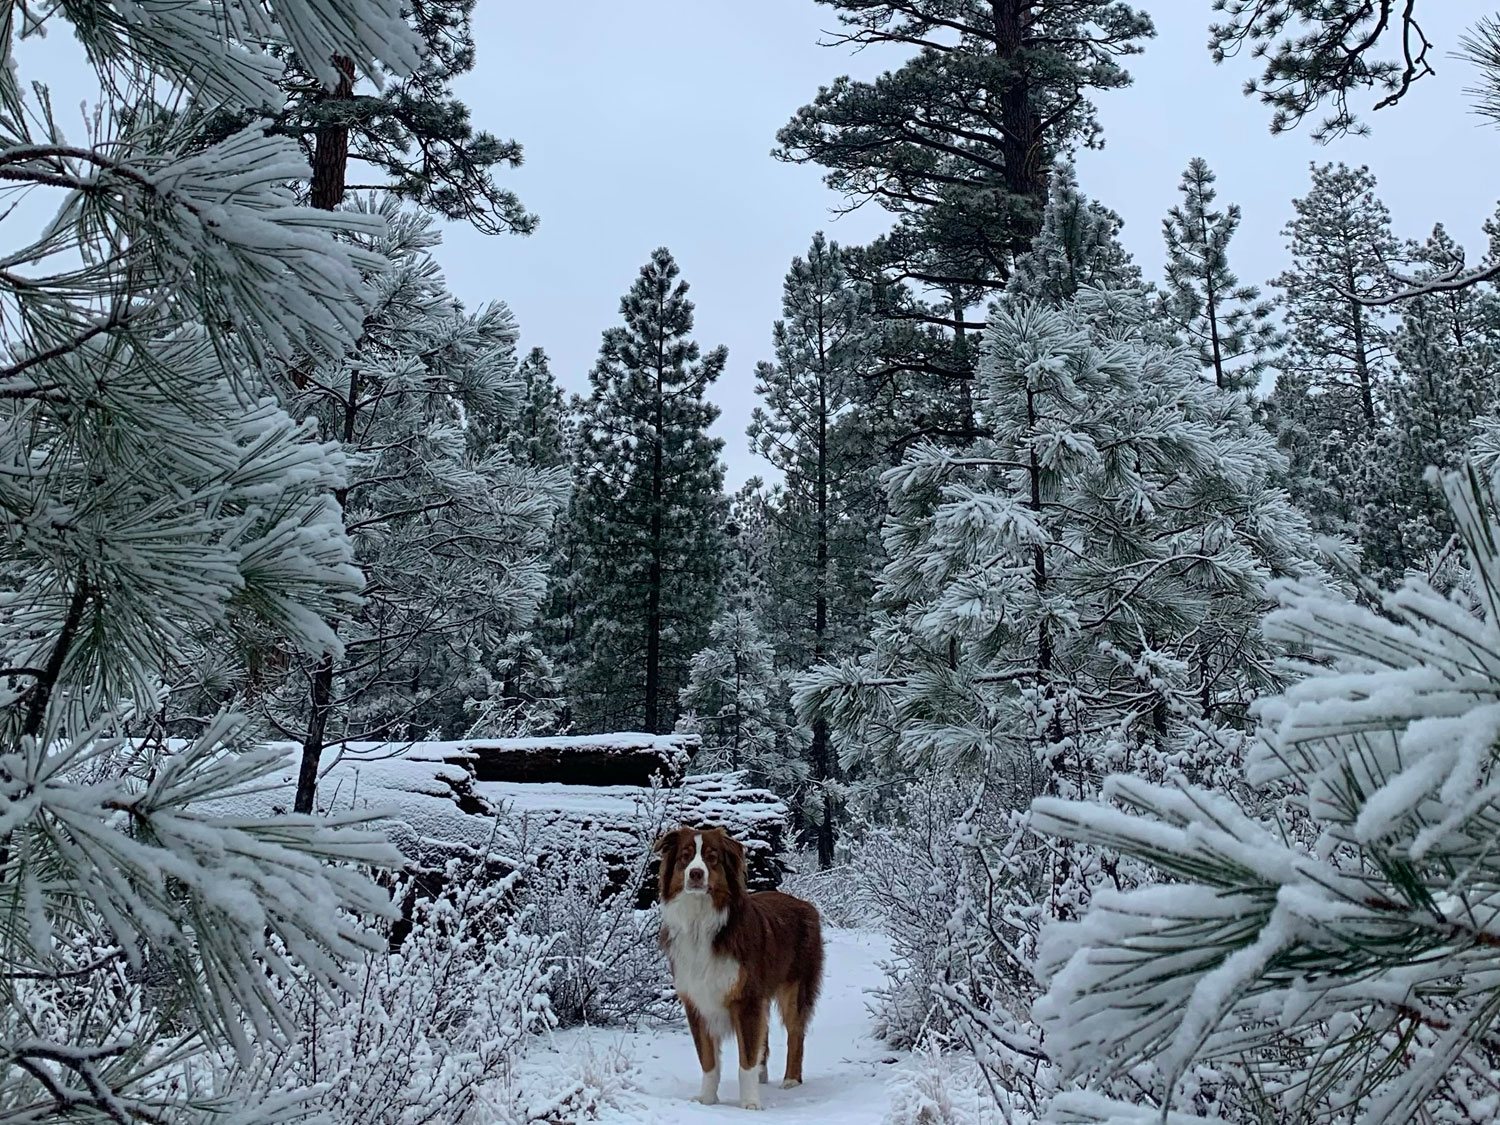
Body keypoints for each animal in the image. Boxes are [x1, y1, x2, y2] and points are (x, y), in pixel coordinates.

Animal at [654, 822, 822, 1116]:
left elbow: (746, 1060)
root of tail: (804, 903)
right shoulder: (697, 1001)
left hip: (795, 987)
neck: (700, 922)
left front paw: (750, 1103)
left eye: (711, 858)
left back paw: (791, 1079)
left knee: (795, 1033)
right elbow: (708, 1059)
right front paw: (707, 1100)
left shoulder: (747, 998)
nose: (696, 873)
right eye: (686, 856)